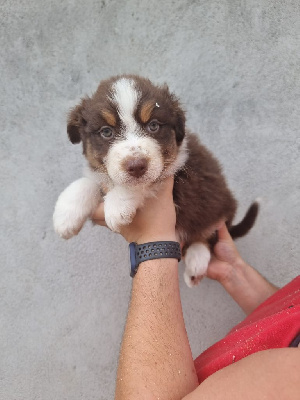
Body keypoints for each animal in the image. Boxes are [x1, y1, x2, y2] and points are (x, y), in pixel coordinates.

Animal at [53, 75, 258, 286]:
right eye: (106, 132)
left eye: (153, 126)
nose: (136, 166)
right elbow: (87, 182)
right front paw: (65, 215)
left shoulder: (178, 176)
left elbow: (146, 184)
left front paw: (117, 206)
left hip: (216, 207)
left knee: (207, 235)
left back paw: (196, 261)